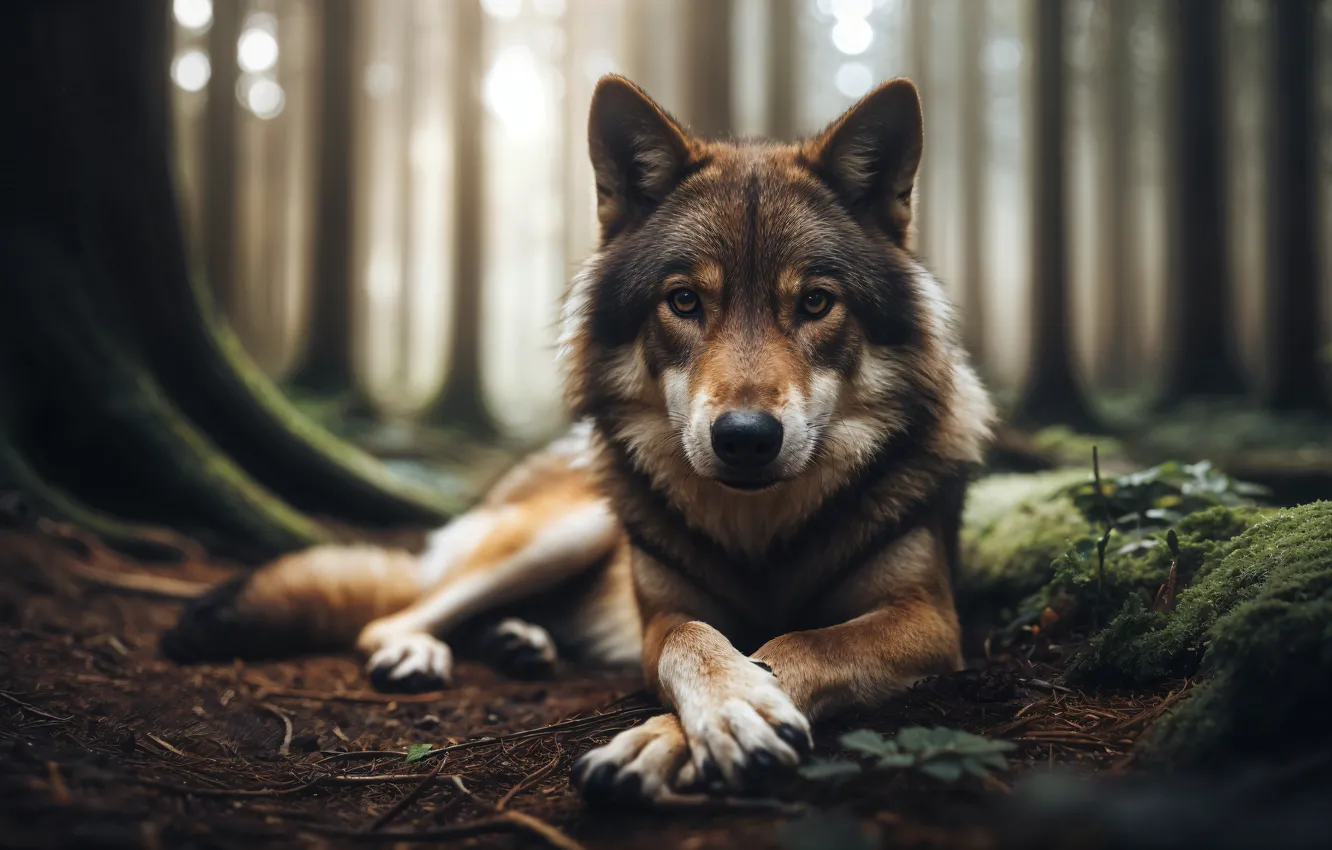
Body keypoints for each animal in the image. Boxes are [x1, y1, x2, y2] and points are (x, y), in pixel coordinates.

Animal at [162, 74, 995, 803]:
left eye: (817, 303)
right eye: (683, 301)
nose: (746, 438)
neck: (761, 536)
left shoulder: (927, 619)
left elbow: (795, 645)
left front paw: (674, 739)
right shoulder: (662, 617)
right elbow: (700, 640)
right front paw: (725, 712)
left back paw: (519, 641)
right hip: (571, 527)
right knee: (392, 613)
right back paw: (422, 648)